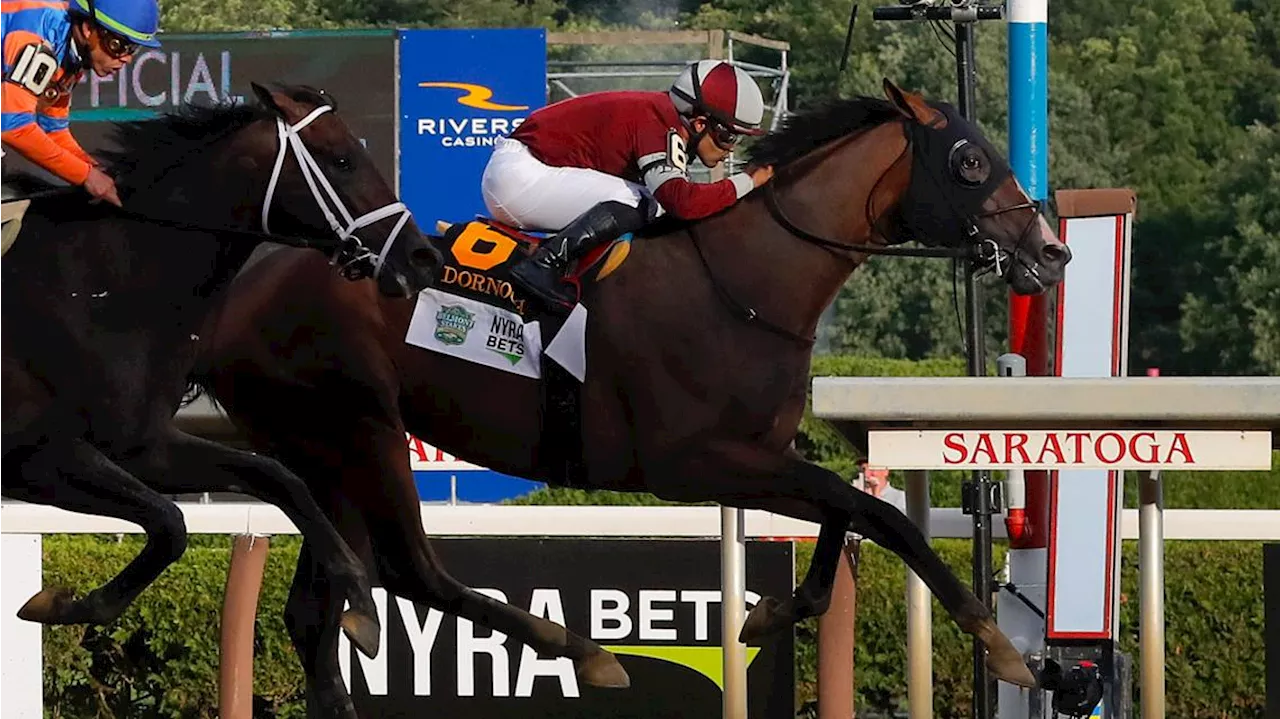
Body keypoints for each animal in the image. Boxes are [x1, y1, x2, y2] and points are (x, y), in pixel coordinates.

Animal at [0, 83, 440, 665]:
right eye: (342, 159)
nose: (422, 256)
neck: (98, 286)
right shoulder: (34, 455)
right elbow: (171, 524)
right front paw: (63, 603)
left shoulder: (142, 446)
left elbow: (277, 478)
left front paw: (360, 605)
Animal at [192, 78, 1070, 716]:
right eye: (968, 161)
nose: (1051, 252)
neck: (745, 283)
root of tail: (238, 291)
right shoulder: (694, 462)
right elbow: (877, 515)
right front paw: (1000, 645)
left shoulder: (762, 452)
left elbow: (847, 508)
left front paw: (770, 611)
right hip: (355, 431)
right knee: (399, 571)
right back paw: (585, 653)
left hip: (325, 449)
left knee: (318, 608)